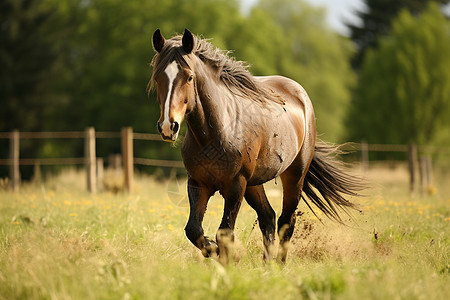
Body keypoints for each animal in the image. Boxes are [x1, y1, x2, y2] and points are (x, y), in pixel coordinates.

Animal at [149, 28, 364, 262]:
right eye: (158, 77)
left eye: (189, 77)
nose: (168, 126)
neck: (217, 133)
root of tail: (301, 96)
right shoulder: (198, 183)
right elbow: (194, 230)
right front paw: (215, 251)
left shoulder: (235, 185)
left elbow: (224, 232)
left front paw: (227, 259)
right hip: (254, 184)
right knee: (268, 217)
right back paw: (267, 264)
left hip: (294, 176)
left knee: (286, 222)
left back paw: (278, 265)